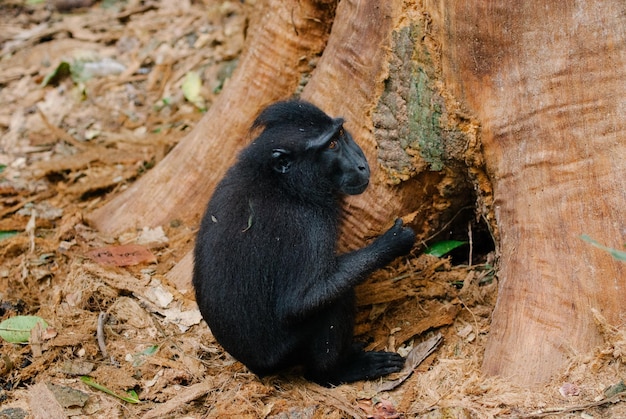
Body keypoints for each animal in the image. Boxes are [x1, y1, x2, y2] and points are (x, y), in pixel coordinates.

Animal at [191, 99, 414, 388]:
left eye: (341, 134)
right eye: (331, 145)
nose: (361, 165)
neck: (280, 182)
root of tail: (256, 367)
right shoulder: (308, 225)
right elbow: (300, 301)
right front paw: (392, 243)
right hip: (287, 350)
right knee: (333, 302)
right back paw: (337, 371)